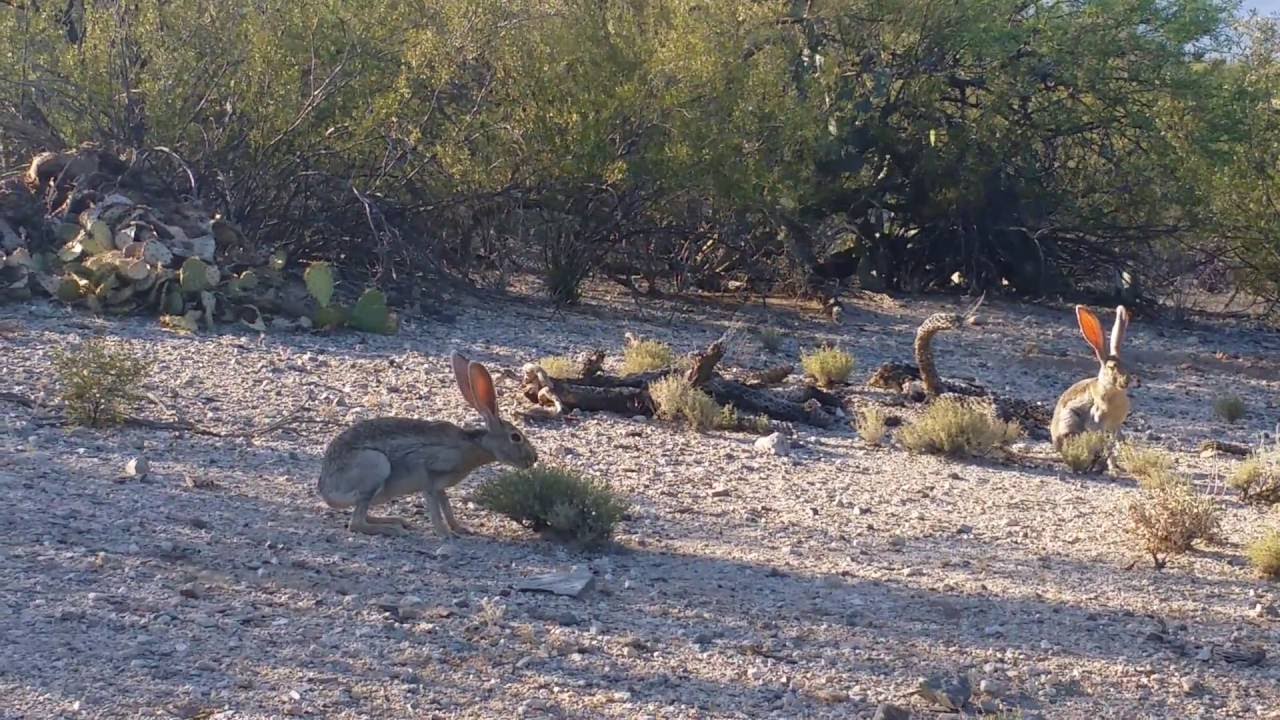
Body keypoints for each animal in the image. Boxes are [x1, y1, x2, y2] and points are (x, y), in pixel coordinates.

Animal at [317, 351, 538, 538]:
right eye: (515, 437)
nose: (534, 458)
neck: (475, 445)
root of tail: (326, 490)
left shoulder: (441, 486)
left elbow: (446, 506)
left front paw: (460, 528)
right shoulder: (429, 476)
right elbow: (435, 508)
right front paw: (445, 534)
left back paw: (398, 521)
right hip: (375, 466)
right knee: (356, 523)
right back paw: (393, 529)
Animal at [1049, 304, 1139, 450]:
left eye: (1126, 365)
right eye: (1111, 367)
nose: (1126, 381)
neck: (1113, 391)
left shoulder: (1116, 425)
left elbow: (1119, 436)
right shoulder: (1097, 419)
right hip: (1070, 419)